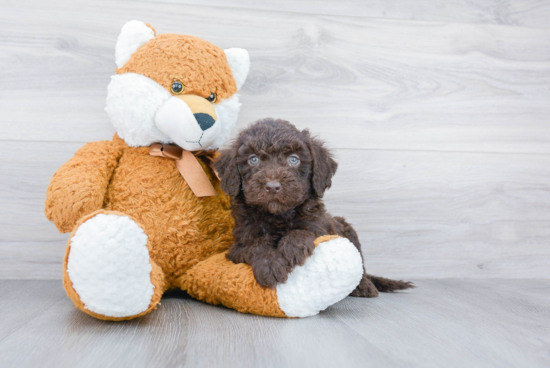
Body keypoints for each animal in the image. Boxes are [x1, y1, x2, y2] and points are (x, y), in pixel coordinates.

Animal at [216, 118, 414, 296]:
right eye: (253, 159)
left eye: (294, 159)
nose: (272, 186)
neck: (278, 216)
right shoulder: (237, 247)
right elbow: (255, 245)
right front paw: (270, 265)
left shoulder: (321, 228)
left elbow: (304, 230)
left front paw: (292, 247)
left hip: (348, 231)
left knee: (361, 266)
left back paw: (364, 286)